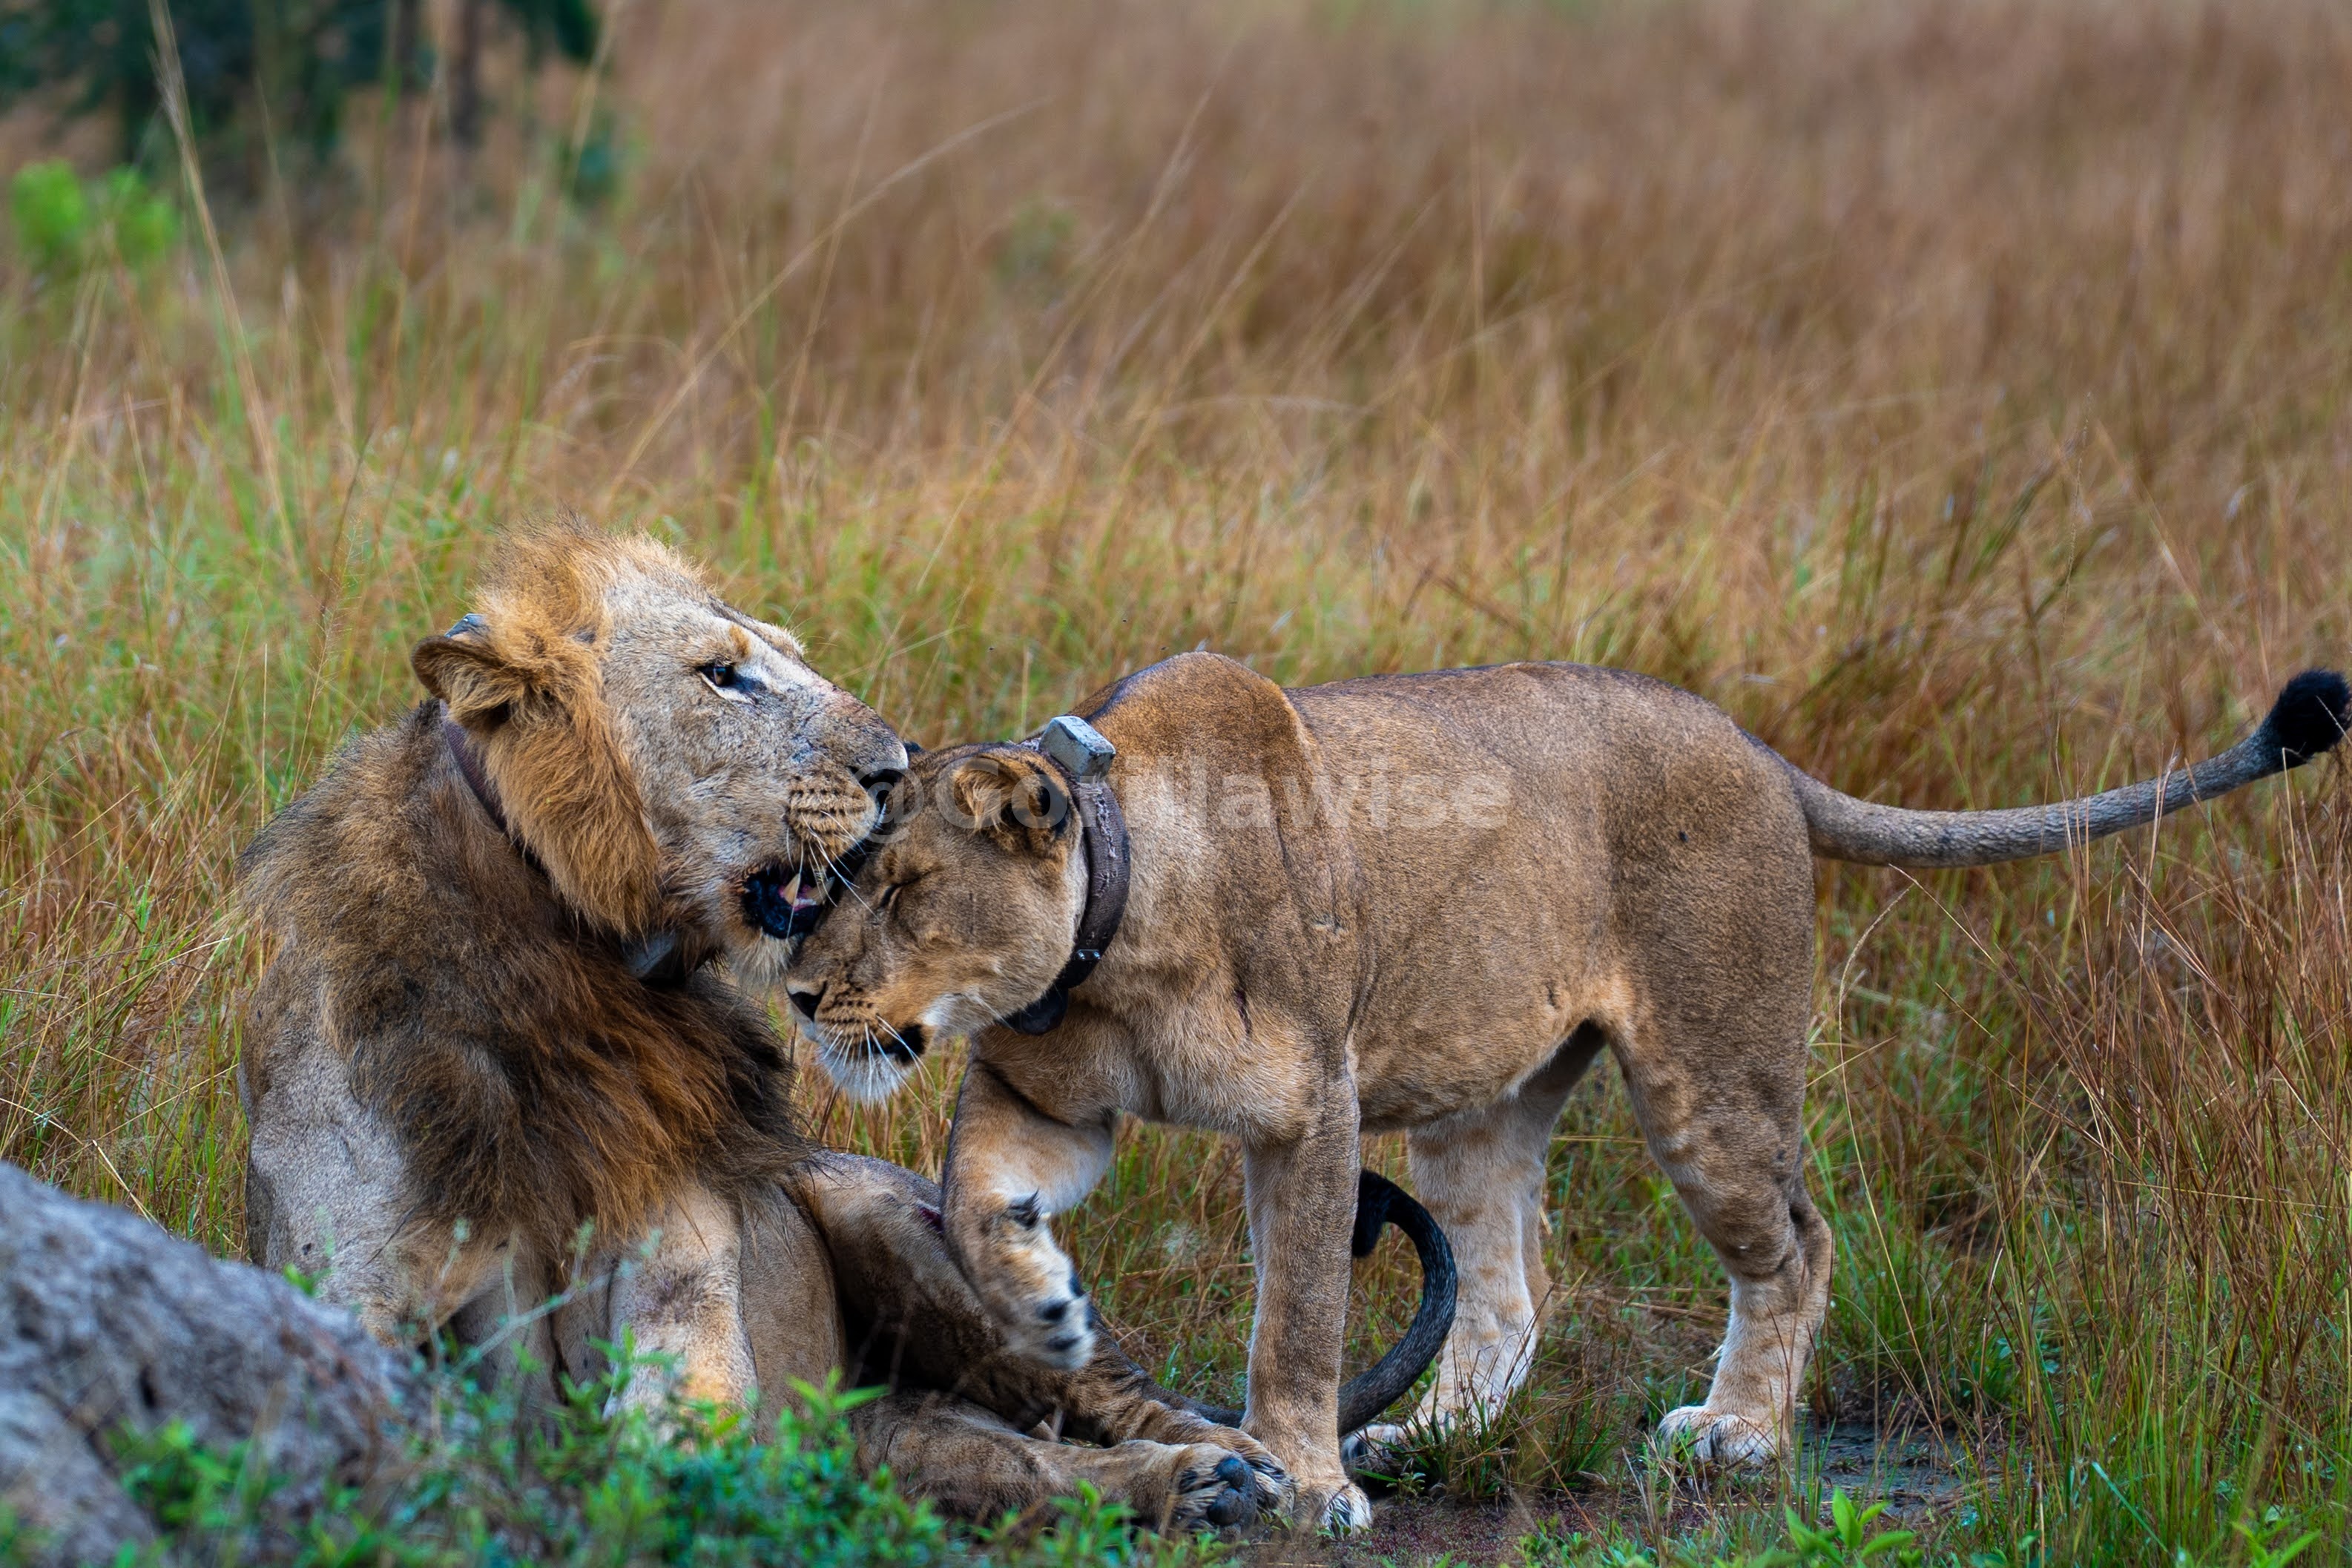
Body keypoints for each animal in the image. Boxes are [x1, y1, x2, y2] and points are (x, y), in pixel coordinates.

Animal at [236, 530, 1443, 1531]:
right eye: (722, 673)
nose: (897, 765)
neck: (560, 972)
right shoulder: (346, 1298)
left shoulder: (685, 1283)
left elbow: (665, 1440)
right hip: (884, 1428)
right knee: (1006, 1463)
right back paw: (1196, 1486)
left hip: (898, 1225)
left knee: (1117, 1398)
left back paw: (1253, 1470)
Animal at [783, 650, 2351, 1528]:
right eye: (827, 879)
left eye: (903, 889)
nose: (799, 993)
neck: (1108, 948)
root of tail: (1759, 748)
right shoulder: (1045, 1097)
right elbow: (972, 1205)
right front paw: (1046, 1308)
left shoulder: (1313, 1115)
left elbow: (1299, 1313)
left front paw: (1304, 1477)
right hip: (1477, 1102)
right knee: (1510, 1290)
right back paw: (1435, 1430)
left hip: (1709, 1081)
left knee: (1800, 1242)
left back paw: (1740, 1432)